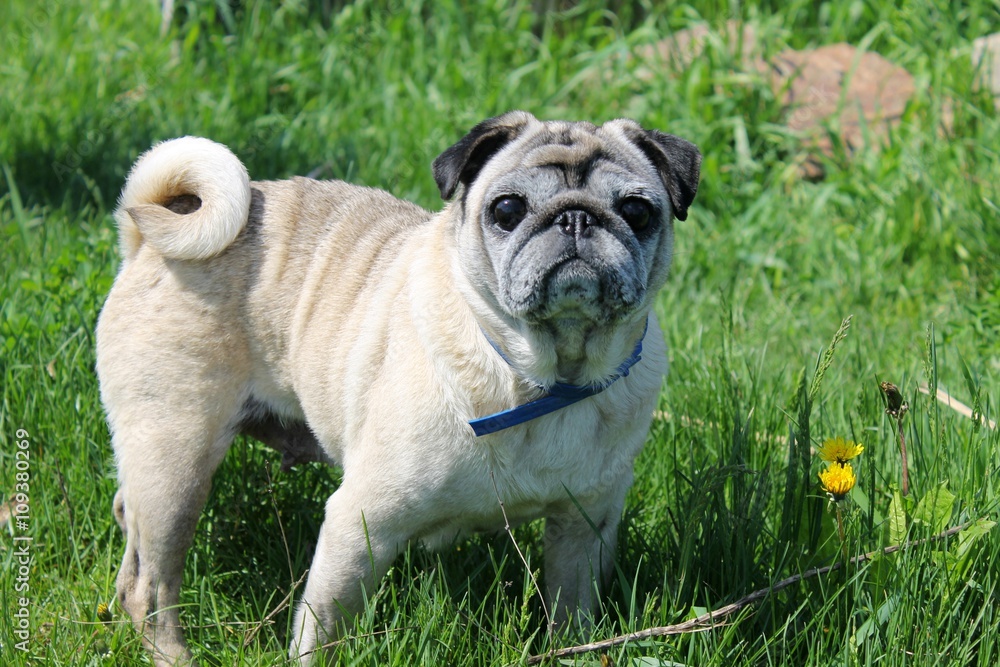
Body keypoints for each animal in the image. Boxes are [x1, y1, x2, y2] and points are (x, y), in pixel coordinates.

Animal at [97, 112, 700, 664]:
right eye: (507, 210)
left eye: (637, 212)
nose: (576, 218)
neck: (545, 378)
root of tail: (146, 237)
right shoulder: (360, 523)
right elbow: (323, 629)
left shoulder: (583, 527)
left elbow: (572, 615)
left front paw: (571, 650)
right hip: (176, 463)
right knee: (150, 587)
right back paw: (174, 654)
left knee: (131, 534)